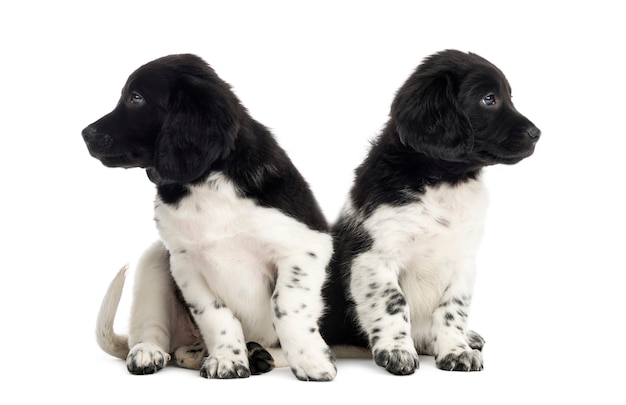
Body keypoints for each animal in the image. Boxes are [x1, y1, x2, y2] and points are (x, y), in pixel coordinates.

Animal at [84, 52, 336, 378]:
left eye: (135, 98)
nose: (84, 133)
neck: (204, 183)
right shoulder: (186, 264)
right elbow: (217, 316)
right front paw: (227, 358)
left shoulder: (304, 247)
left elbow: (287, 306)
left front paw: (309, 360)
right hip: (155, 260)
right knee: (155, 331)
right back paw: (151, 351)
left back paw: (259, 354)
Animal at [320, 49, 540, 374]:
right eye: (489, 99)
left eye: (509, 97)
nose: (537, 133)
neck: (444, 182)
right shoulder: (375, 258)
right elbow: (393, 303)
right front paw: (397, 350)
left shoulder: (463, 260)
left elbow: (453, 308)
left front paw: (456, 350)